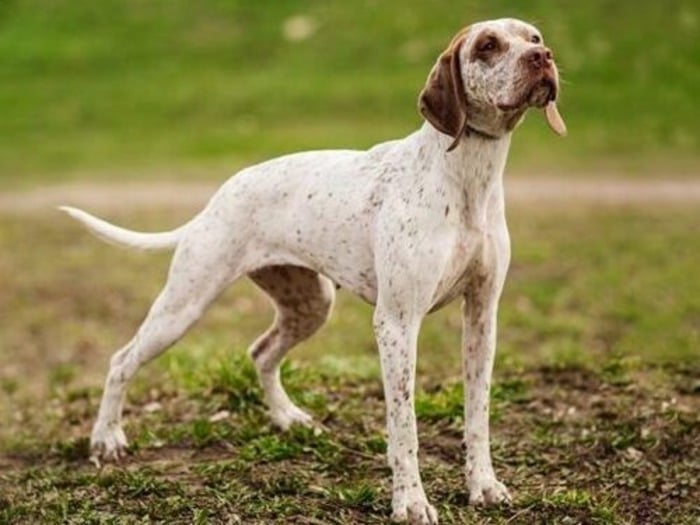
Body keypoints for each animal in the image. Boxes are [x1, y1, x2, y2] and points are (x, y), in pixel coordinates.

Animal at [58, 18, 564, 520]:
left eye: (534, 38)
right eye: (488, 46)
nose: (542, 57)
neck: (467, 180)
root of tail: (218, 197)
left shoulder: (481, 315)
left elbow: (477, 414)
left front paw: (484, 486)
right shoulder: (397, 324)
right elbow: (404, 426)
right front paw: (410, 501)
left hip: (309, 304)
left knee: (261, 353)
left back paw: (287, 418)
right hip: (183, 306)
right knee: (122, 360)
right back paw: (106, 439)